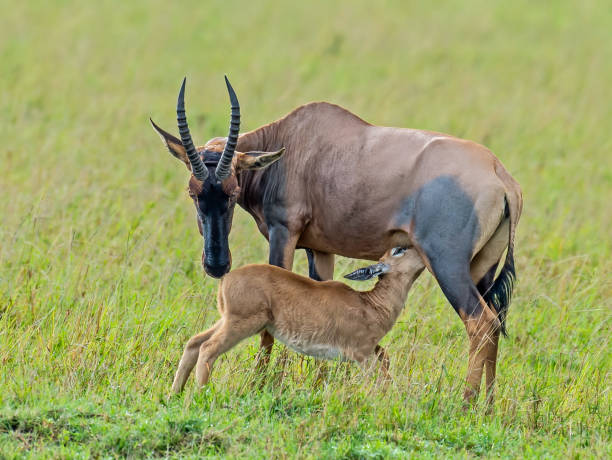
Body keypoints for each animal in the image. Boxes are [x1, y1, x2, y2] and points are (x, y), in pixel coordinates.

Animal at [152, 75, 520, 402]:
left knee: (481, 323)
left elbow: (270, 325)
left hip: (447, 265)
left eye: (231, 190)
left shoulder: (284, 232)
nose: (216, 265)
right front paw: (319, 385)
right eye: (193, 192)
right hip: (481, 268)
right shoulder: (320, 249)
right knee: (494, 324)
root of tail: (500, 175)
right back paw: (488, 405)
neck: (296, 142)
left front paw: (261, 385)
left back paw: (467, 403)